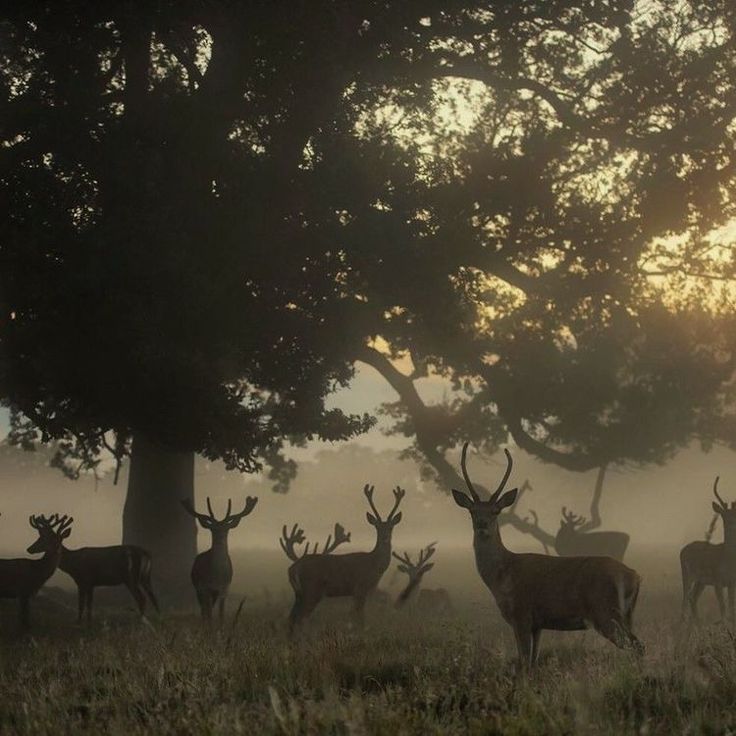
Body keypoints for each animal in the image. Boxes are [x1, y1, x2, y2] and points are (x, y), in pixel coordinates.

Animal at [27, 516, 158, 624]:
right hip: (145, 577)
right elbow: (89, 604)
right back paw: (157, 617)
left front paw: (79, 622)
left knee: (142, 598)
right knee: (153, 596)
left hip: (131, 577)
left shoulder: (83, 580)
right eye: (41, 537)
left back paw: (140, 621)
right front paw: (89, 622)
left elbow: (81, 604)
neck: (73, 565)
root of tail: (147, 554)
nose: (29, 549)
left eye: (48, 539)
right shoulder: (91, 583)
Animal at [284, 484, 406, 632]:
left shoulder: (356, 592)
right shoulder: (360, 587)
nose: (385, 538)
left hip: (299, 594)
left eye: (391, 527)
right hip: (312, 589)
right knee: (300, 618)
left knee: (291, 619)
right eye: (377, 527)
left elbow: (354, 615)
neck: (375, 566)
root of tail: (294, 567)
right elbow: (360, 617)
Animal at [452, 440, 640, 668]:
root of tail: (635, 576)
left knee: (637, 646)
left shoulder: (521, 614)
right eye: (472, 511)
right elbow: (533, 661)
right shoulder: (537, 623)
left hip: (606, 612)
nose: (482, 525)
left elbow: (524, 662)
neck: (502, 577)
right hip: (625, 615)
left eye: (496, 510)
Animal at [680, 478, 736, 628]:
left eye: (735, 514)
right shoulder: (717, 581)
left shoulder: (732, 583)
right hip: (687, 575)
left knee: (693, 598)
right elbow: (723, 607)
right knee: (685, 599)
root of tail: (683, 549)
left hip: (701, 582)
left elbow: (731, 607)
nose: (731, 524)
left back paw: (698, 625)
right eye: (723, 515)